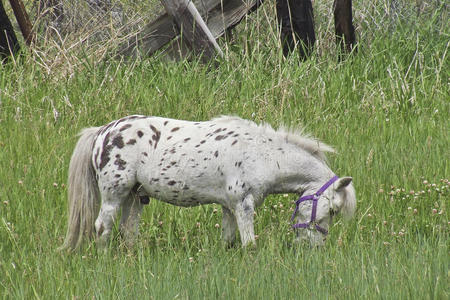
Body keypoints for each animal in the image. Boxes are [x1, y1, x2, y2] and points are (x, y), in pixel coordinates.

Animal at [58, 115, 356, 251]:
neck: (263, 154)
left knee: (128, 231)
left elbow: (228, 240)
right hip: (114, 195)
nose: (315, 246)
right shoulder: (243, 205)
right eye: (332, 210)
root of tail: (102, 132)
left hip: (134, 197)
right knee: (102, 227)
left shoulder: (229, 207)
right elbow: (249, 244)